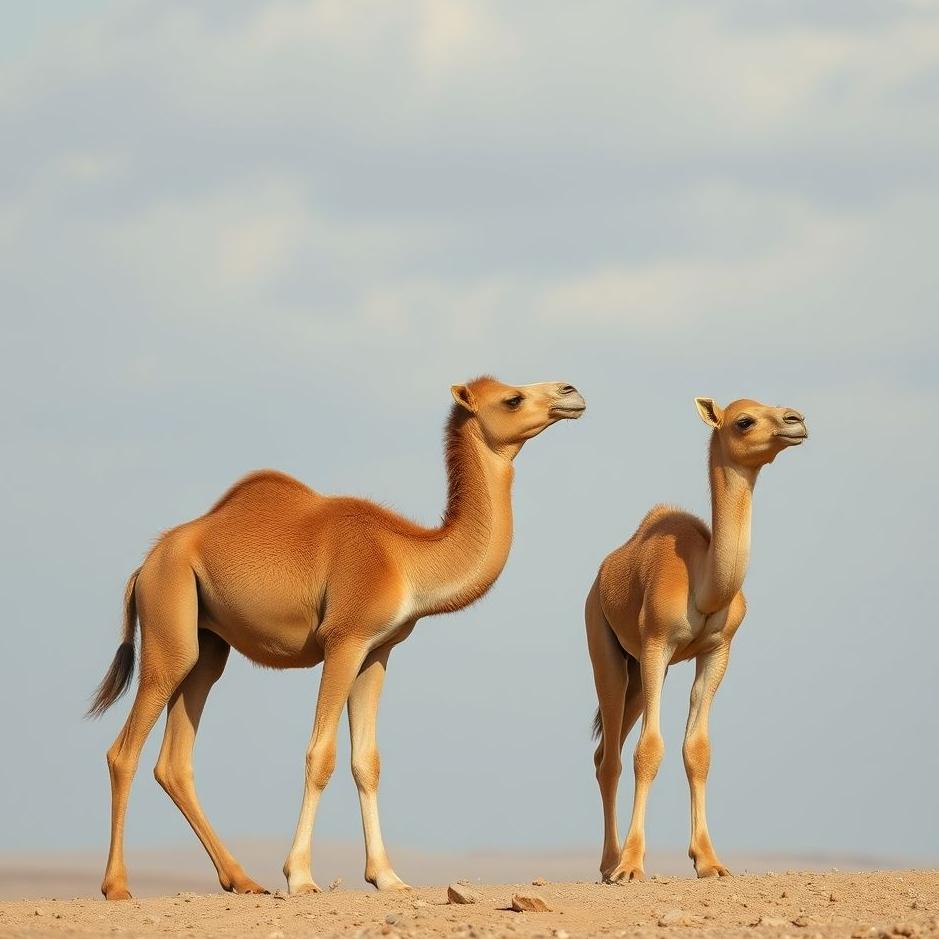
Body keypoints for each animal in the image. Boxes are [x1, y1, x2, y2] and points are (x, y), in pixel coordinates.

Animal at [87, 376, 586, 900]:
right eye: (512, 398)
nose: (571, 392)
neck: (404, 559)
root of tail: (147, 564)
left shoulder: (377, 650)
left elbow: (367, 761)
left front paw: (387, 876)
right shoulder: (344, 639)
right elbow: (320, 754)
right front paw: (301, 876)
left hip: (208, 648)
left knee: (175, 762)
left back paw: (242, 880)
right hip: (170, 625)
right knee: (124, 752)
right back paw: (117, 886)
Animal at [586, 397, 807, 883]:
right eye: (744, 420)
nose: (796, 420)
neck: (704, 581)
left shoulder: (717, 650)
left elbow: (698, 749)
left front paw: (709, 861)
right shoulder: (656, 643)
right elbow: (649, 750)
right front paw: (632, 865)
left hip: (637, 676)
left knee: (604, 751)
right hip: (607, 651)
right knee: (610, 758)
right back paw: (610, 863)